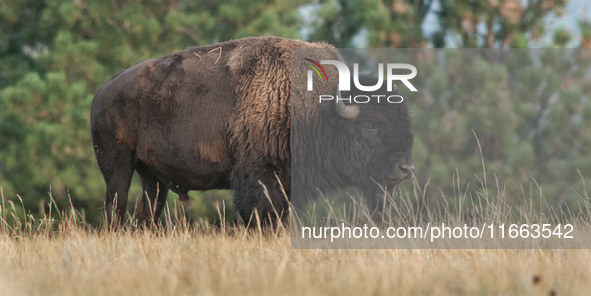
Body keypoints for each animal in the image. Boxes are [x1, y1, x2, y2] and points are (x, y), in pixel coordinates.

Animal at [92, 37, 414, 227]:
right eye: (370, 127)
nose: (405, 168)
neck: (317, 111)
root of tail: (104, 89)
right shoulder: (260, 177)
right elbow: (261, 214)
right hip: (118, 167)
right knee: (115, 206)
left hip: (152, 177)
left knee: (147, 212)